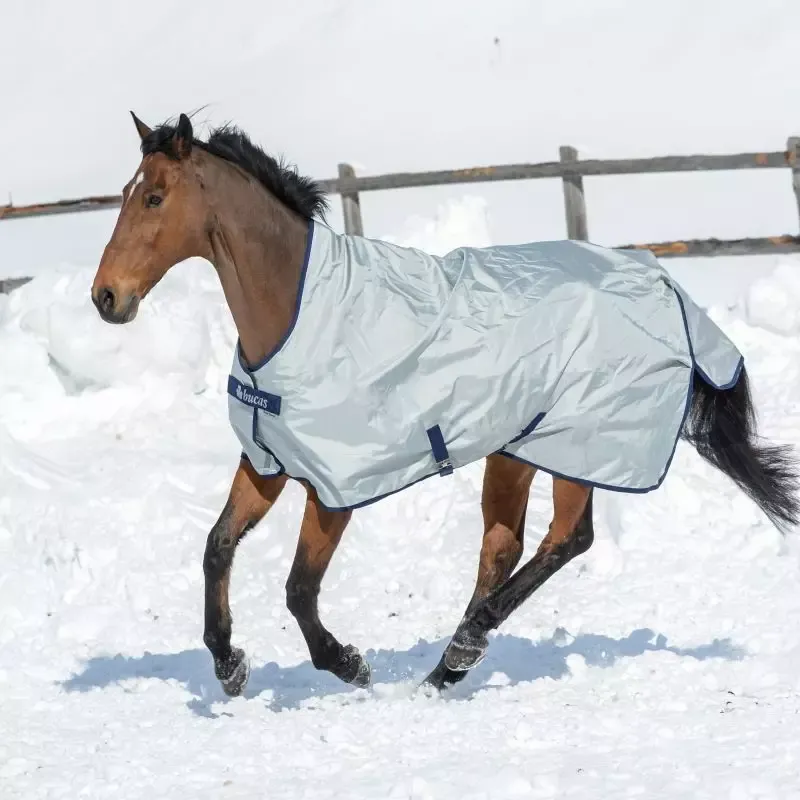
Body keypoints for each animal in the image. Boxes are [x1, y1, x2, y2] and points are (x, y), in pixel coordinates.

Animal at [90, 111, 800, 697]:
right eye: (124, 193)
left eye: (154, 197)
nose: (106, 297)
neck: (296, 315)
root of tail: (662, 281)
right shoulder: (268, 463)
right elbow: (216, 547)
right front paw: (228, 665)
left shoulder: (336, 486)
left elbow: (299, 589)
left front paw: (349, 664)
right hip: (515, 448)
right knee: (504, 547)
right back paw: (447, 666)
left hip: (578, 446)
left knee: (568, 539)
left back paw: (464, 643)